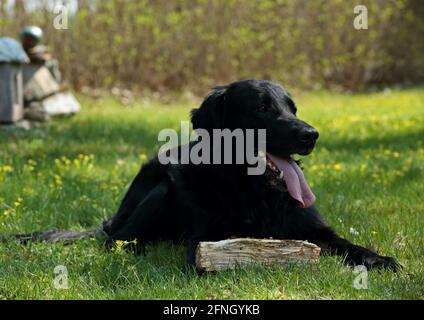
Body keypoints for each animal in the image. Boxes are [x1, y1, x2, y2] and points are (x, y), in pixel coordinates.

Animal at [103, 80, 400, 270]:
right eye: (261, 108)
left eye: (293, 109)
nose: (311, 135)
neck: (260, 196)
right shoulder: (205, 238)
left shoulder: (315, 229)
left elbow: (349, 245)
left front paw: (379, 259)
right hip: (160, 191)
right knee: (115, 238)